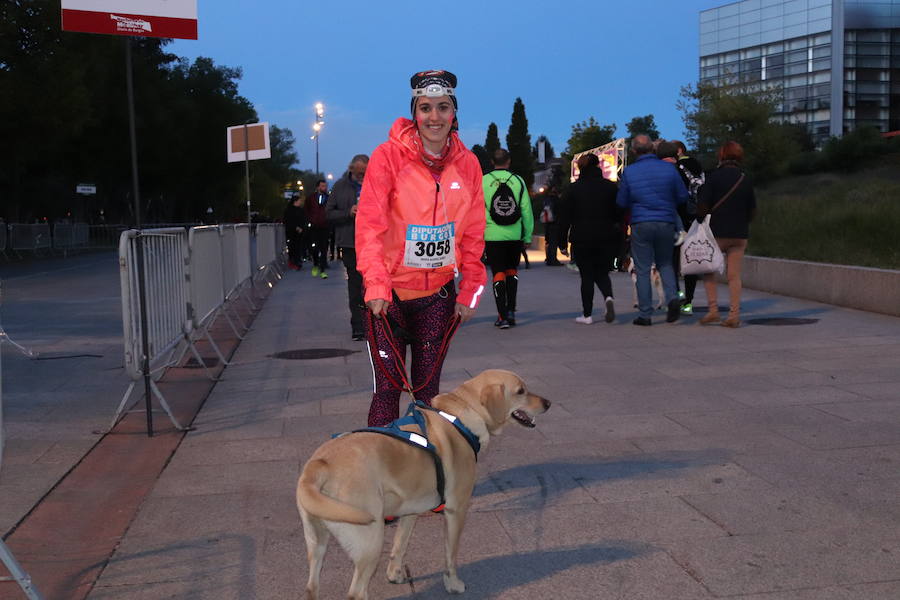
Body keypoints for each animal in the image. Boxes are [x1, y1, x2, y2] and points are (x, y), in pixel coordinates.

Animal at [298, 370, 548, 600]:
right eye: (521, 391)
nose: (548, 403)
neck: (461, 415)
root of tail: (319, 464)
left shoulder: (411, 510)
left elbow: (400, 545)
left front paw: (395, 574)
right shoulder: (456, 510)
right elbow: (450, 556)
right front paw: (453, 584)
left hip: (316, 543)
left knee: (311, 587)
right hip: (370, 543)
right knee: (356, 593)